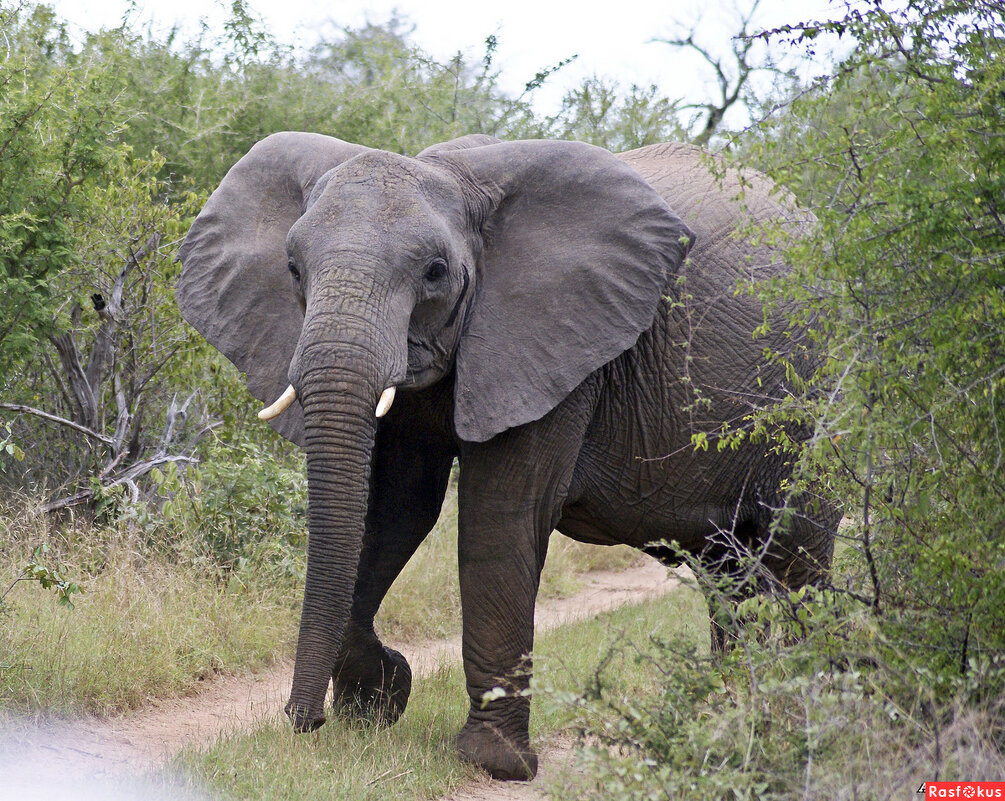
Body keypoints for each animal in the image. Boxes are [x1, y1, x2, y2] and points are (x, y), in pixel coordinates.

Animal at [176, 132, 836, 779]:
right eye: (292, 268)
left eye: (435, 272)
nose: (302, 721)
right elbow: (392, 512)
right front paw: (378, 701)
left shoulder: (554, 341)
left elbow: (498, 519)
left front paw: (493, 762)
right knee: (728, 571)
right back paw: (731, 710)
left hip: (813, 394)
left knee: (796, 552)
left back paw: (803, 710)